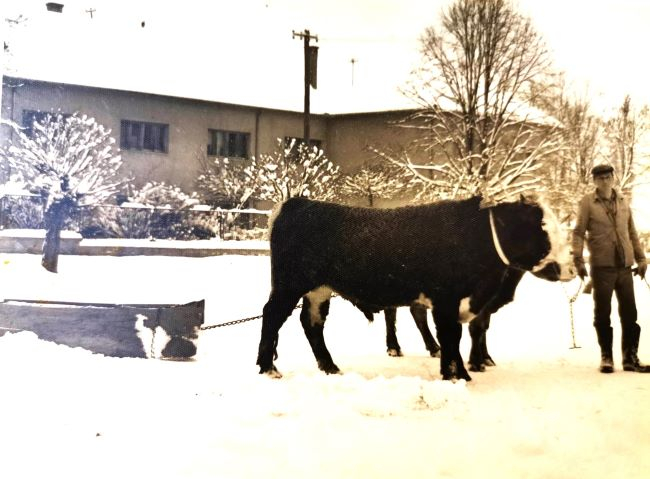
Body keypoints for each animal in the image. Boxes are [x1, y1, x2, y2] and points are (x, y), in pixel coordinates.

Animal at [256, 197, 576, 380]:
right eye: (543, 228)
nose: (572, 268)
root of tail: (299, 202)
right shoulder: (446, 300)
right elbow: (451, 337)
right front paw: (458, 376)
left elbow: (457, 337)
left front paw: (458, 371)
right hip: (289, 285)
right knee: (272, 317)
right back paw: (268, 368)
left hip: (318, 289)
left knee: (311, 323)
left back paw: (330, 367)